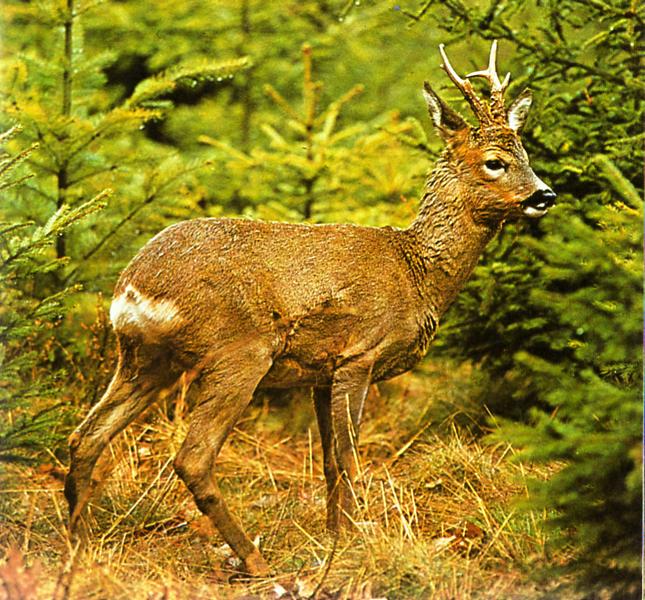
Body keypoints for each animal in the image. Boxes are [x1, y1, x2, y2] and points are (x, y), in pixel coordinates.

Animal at [64, 42, 552, 576]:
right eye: (494, 162)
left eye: (527, 155)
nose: (545, 194)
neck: (417, 274)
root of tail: (132, 288)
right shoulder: (360, 354)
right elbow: (349, 456)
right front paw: (358, 540)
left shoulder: (322, 372)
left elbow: (330, 462)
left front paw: (334, 536)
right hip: (238, 353)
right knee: (192, 457)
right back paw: (254, 559)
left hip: (145, 360)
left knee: (85, 436)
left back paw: (80, 545)